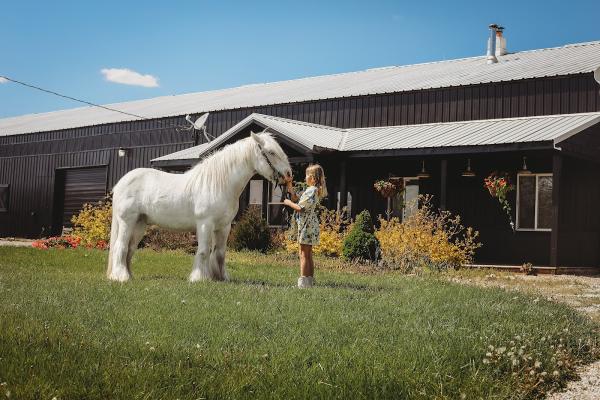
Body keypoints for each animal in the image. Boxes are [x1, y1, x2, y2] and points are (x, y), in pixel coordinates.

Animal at [106, 133, 292, 282]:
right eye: (272, 152)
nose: (289, 174)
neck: (219, 184)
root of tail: (121, 183)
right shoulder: (205, 224)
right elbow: (203, 250)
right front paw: (199, 278)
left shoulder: (224, 227)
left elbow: (220, 253)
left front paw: (220, 277)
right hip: (127, 222)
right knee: (120, 246)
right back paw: (121, 277)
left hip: (139, 223)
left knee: (130, 249)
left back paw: (129, 276)